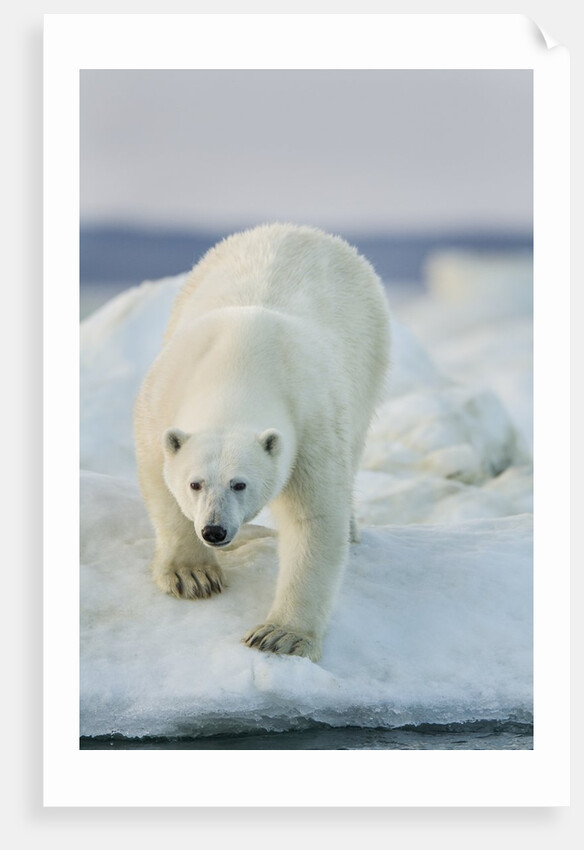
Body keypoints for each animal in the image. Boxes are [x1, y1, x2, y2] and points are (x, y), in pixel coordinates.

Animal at [134, 223, 391, 662]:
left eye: (240, 484)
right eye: (195, 483)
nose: (214, 531)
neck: (237, 365)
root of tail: (302, 229)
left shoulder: (310, 420)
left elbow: (314, 518)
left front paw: (280, 635)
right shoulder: (161, 399)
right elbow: (159, 481)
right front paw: (193, 575)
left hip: (368, 355)